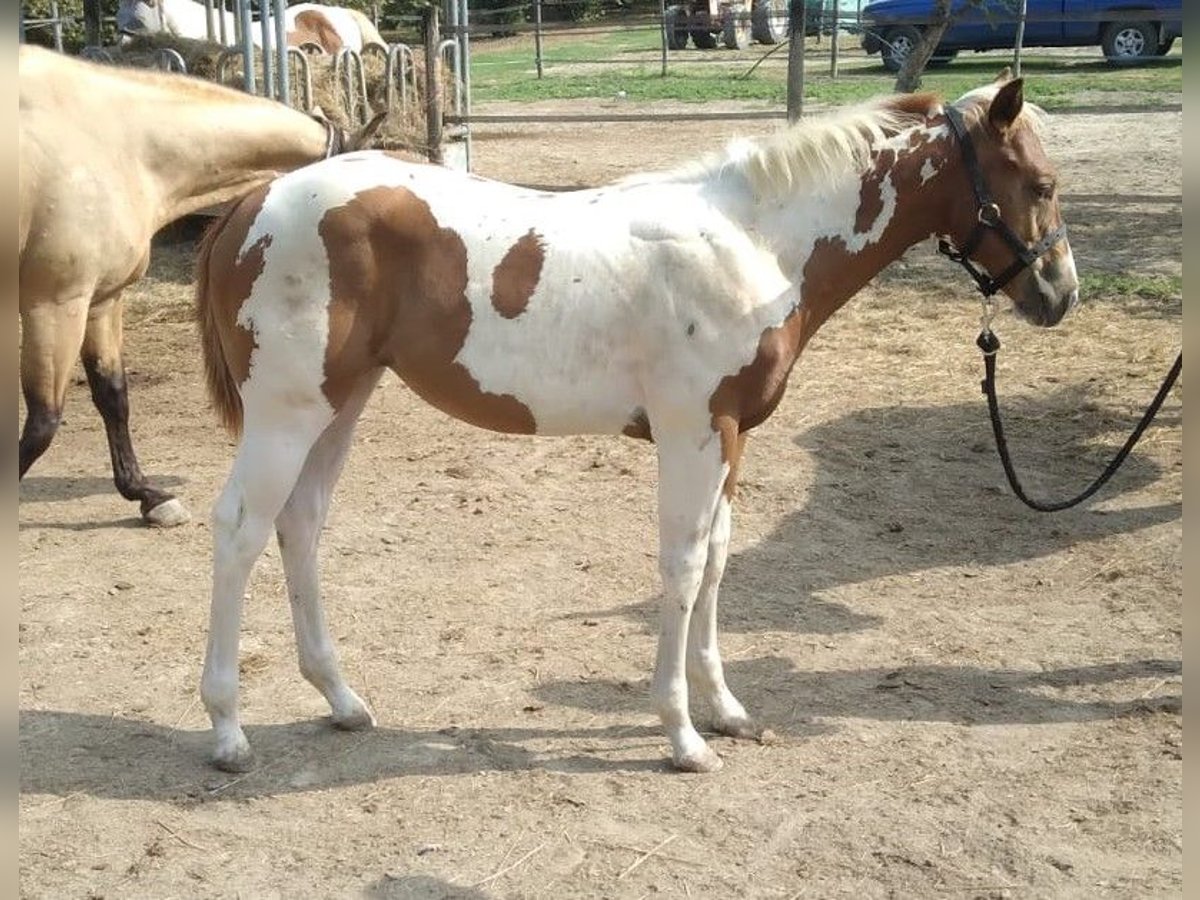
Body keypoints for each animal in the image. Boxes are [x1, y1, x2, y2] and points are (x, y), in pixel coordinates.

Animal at [19, 45, 384, 528]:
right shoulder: (54, 304)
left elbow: (112, 396)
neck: (115, 141)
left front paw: (147, 495)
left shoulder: (100, 301)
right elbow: (42, 422)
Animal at [194, 72, 1080, 777]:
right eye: (1039, 183)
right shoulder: (692, 431)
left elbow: (718, 560)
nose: (1060, 294)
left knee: (301, 524)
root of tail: (252, 202)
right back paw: (228, 730)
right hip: (287, 413)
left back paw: (342, 699)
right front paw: (683, 736)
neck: (757, 244)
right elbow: (682, 569)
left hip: (341, 403)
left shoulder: (733, 435)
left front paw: (727, 709)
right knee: (240, 529)